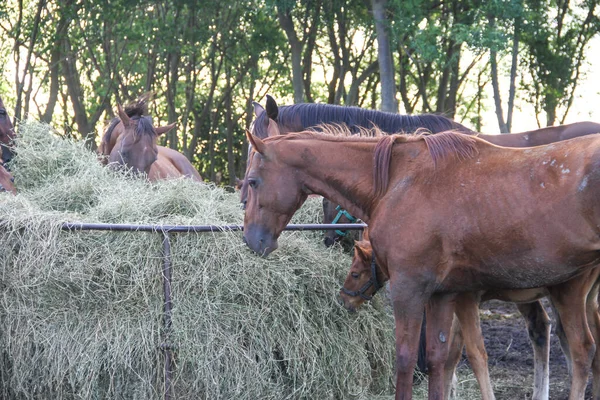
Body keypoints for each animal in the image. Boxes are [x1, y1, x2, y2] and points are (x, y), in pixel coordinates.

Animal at [340, 238, 600, 400]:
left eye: (355, 273)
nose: (344, 299)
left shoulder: (464, 301)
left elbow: (460, 354)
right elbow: (450, 355)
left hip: (566, 297)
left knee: (581, 345)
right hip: (582, 300)